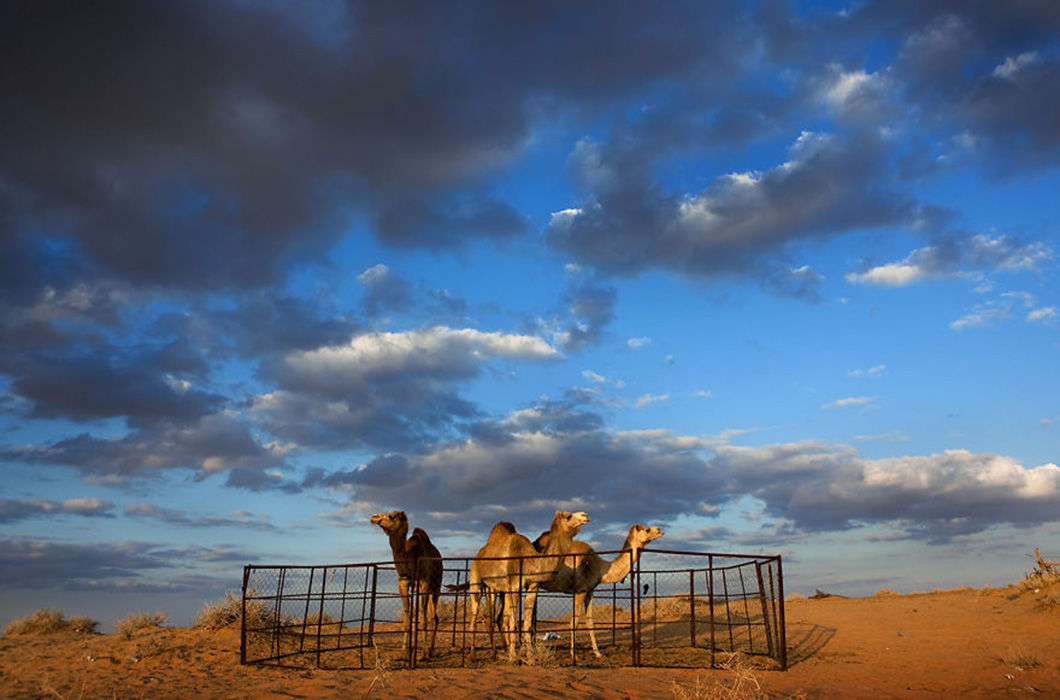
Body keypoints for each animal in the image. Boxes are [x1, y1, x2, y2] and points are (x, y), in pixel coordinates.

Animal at [370, 511, 440, 657]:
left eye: (391, 516)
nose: (374, 517)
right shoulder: (403, 584)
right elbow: (407, 619)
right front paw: (404, 651)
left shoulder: (424, 583)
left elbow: (423, 619)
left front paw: (423, 653)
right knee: (433, 616)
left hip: (436, 586)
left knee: (433, 618)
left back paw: (430, 650)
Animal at [468, 511, 593, 657]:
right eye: (568, 516)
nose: (585, 515)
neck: (528, 560)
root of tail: (479, 555)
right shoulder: (514, 586)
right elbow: (513, 624)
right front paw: (513, 657)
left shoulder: (532, 586)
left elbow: (527, 625)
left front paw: (530, 657)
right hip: (476, 580)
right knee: (475, 616)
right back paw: (472, 655)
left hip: (494, 588)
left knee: (493, 618)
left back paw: (497, 651)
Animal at [530, 526, 661, 657]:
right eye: (647, 530)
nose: (659, 530)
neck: (599, 568)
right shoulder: (580, 590)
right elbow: (574, 621)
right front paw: (573, 654)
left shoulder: (590, 591)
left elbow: (590, 621)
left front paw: (598, 653)